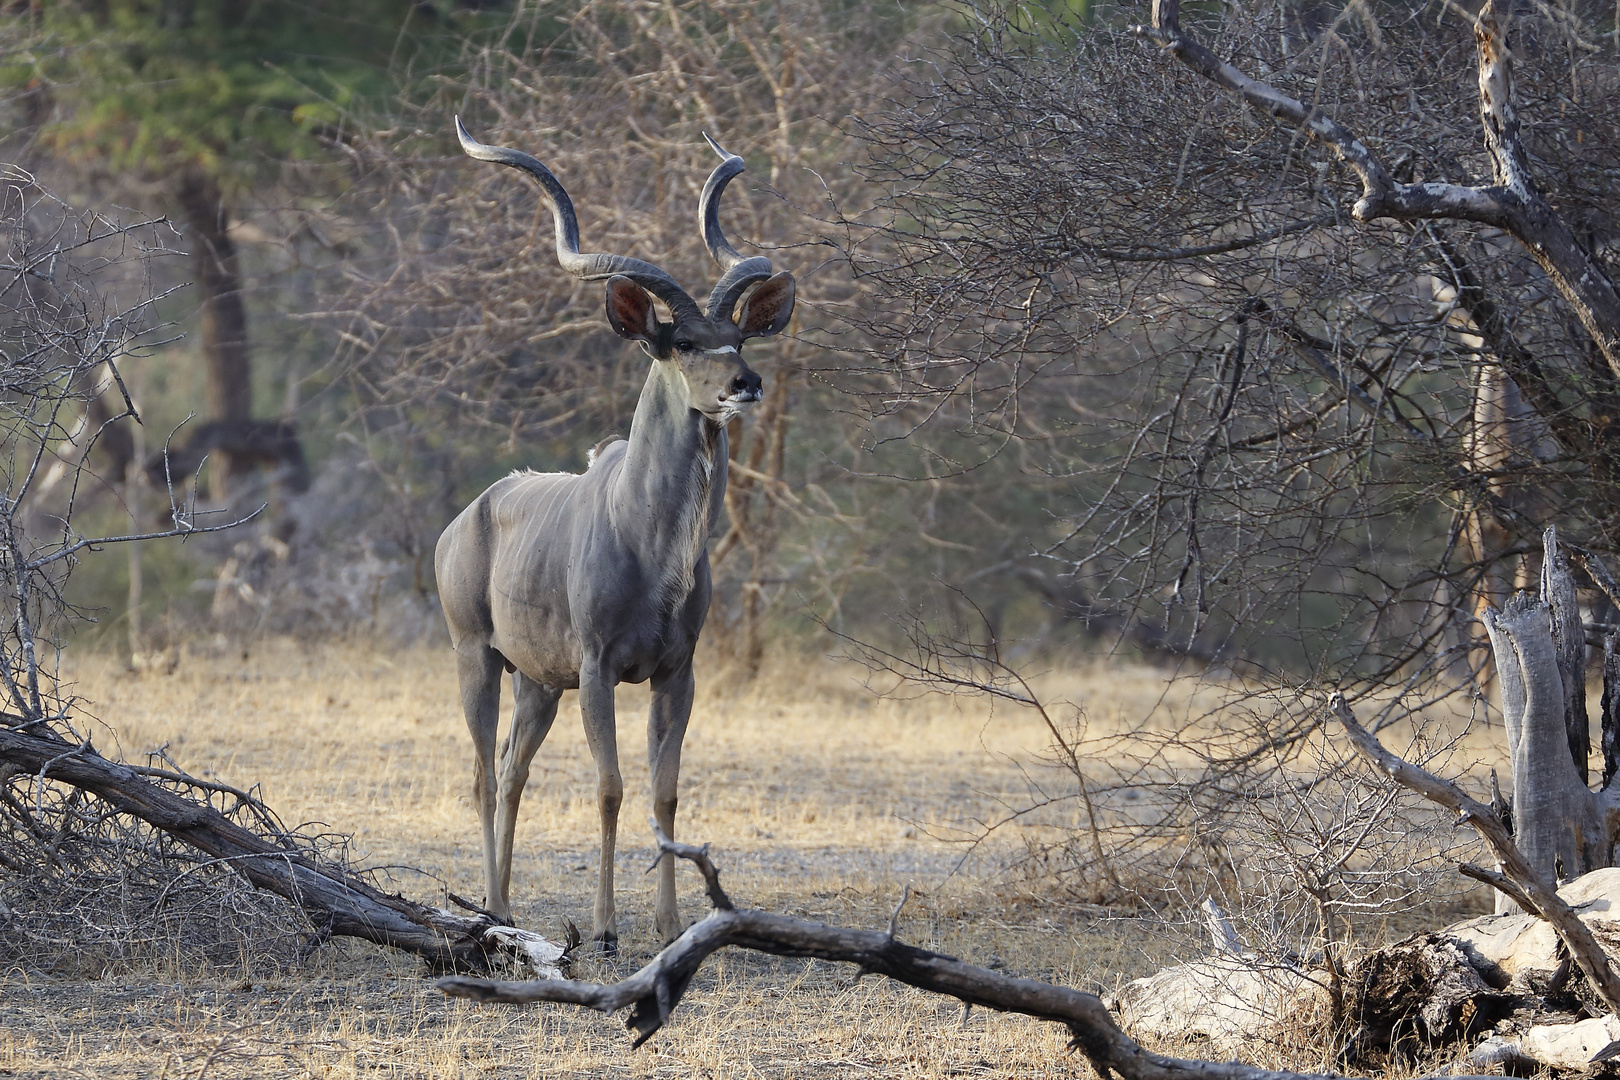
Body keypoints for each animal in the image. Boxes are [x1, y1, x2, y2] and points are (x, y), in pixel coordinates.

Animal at [434, 118, 793, 952]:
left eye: (739, 338)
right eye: (682, 342)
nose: (745, 384)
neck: (650, 543)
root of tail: (466, 520)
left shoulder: (676, 672)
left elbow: (665, 791)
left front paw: (669, 924)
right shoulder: (598, 669)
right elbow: (609, 786)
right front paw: (602, 929)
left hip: (537, 683)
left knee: (512, 770)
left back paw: (502, 907)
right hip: (477, 657)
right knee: (481, 774)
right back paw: (492, 911)